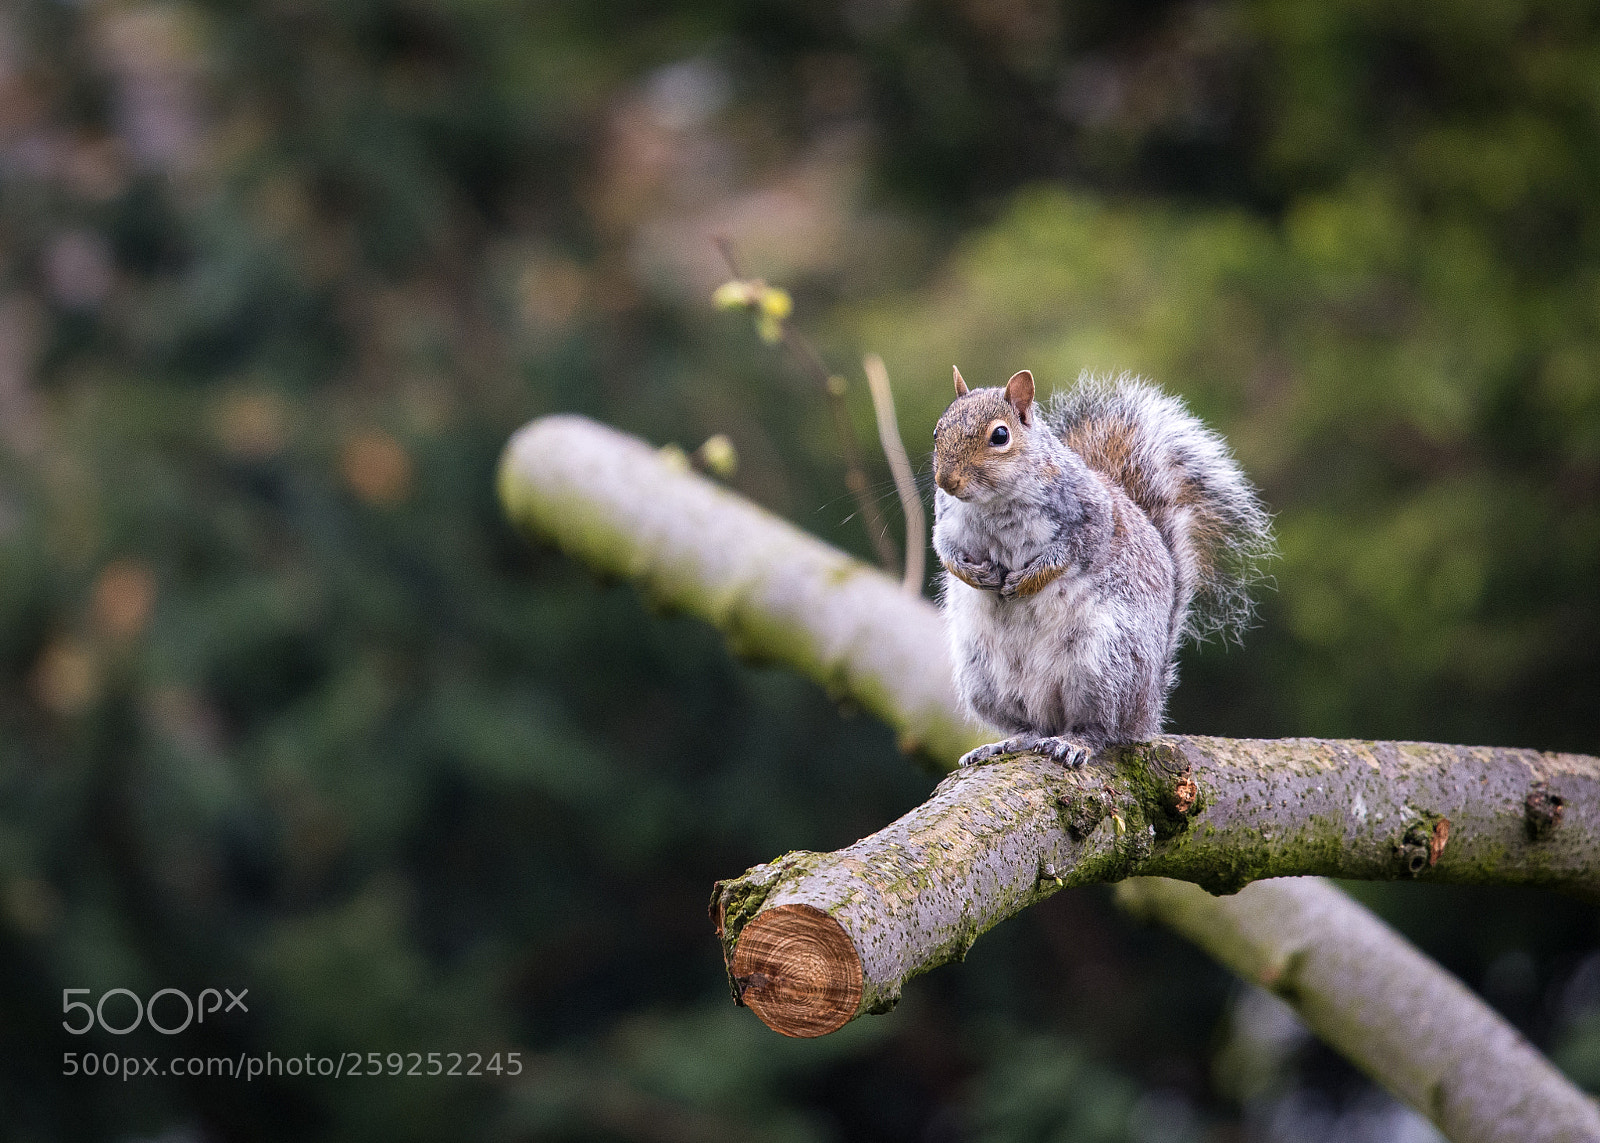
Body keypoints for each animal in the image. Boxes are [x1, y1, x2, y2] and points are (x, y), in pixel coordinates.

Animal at [931, 366, 1274, 768]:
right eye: (938, 430)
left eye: (1000, 436)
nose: (946, 481)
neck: (992, 503)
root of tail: (1147, 714)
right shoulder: (948, 519)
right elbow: (945, 550)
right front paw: (972, 574)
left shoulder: (1091, 516)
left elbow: (1068, 553)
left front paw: (1028, 580)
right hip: (984, 676)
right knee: (1029, 726)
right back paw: (1007, 742)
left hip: (1104, 665)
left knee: (1102, 729)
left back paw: (1075, 742)